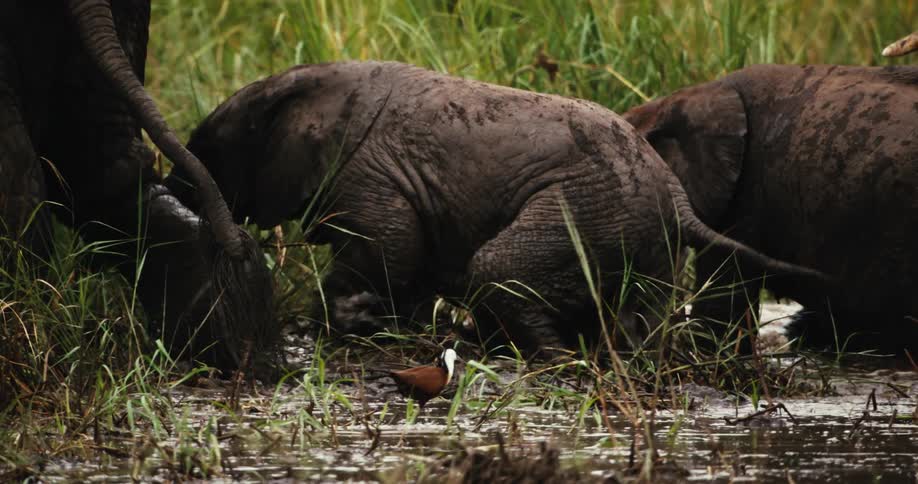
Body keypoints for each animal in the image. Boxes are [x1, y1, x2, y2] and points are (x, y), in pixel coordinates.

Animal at [167, 61, 827, 355]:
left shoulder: (368, 173)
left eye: (210, 151)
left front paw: (352, 320)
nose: (171, 192)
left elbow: (390, 244)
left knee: (495, 269)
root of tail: (677, 196)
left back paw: (542, 355)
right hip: (636, 232)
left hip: (584, 207)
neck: (303, 83)